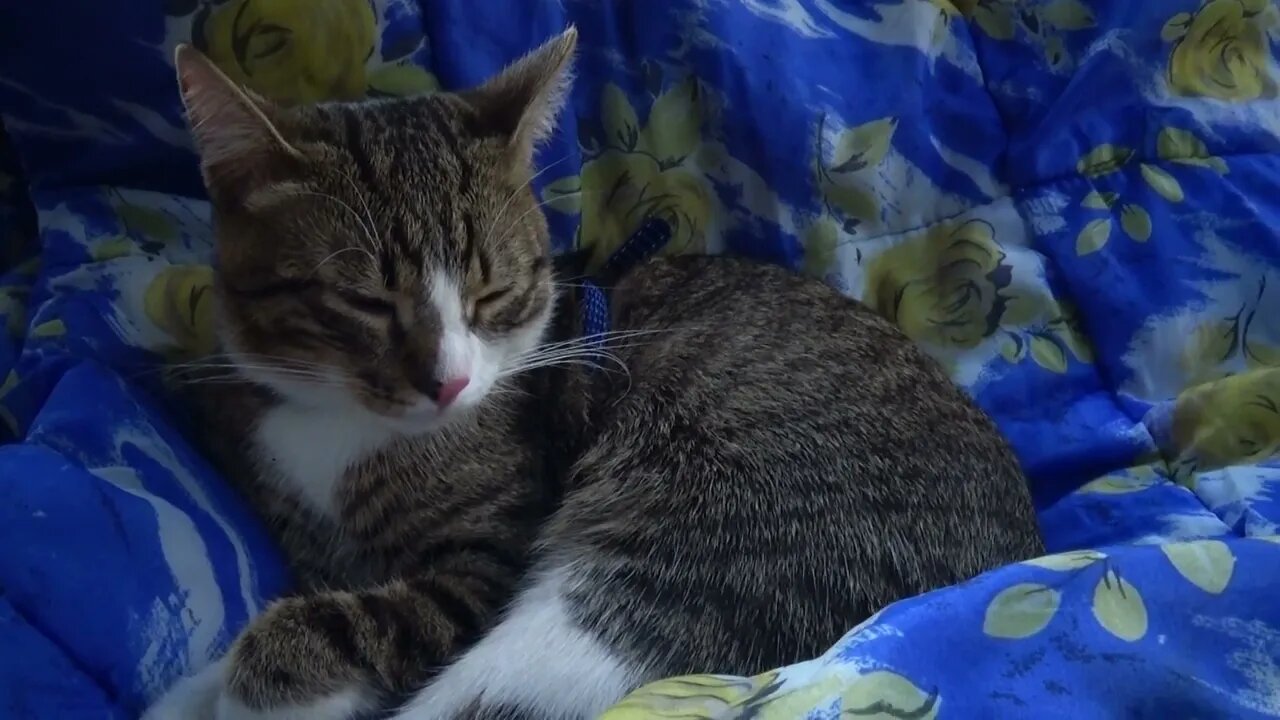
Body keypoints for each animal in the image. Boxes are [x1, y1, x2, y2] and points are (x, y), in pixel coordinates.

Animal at [145, 25, 1044, 717]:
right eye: (363, 301)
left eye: (492, 292)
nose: (448, 382)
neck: (338, 423)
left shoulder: (483, 566)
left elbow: (325, 631)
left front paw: (254, 686)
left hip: (690, 561)